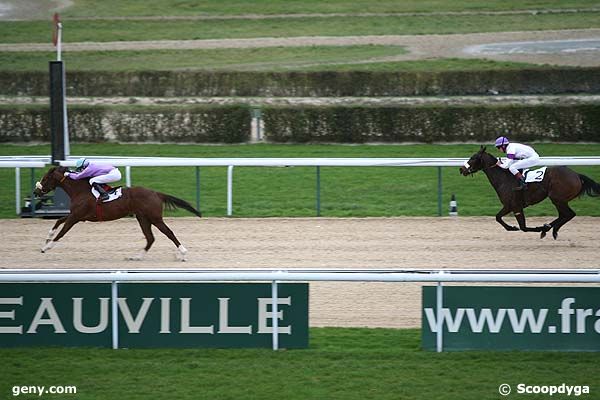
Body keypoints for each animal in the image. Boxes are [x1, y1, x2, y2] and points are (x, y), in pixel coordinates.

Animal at [34, 165, 203, 260]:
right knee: (150, 238)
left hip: (154, 218)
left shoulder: (76, 217)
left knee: (169, 233)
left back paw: (183, 253)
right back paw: (136, 257)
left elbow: (62, 232)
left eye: (45, 178)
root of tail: (156, 193)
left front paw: (46, 247)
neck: (81, 191)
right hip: (143, 218)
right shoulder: (77, 215)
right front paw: (47, 238)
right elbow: (58, 221)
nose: (36, 191)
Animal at [460, 148, 600, 239]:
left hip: (557, 198)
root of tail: (577, 175)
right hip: (559, 200)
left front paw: (536, 228)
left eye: (473, 157)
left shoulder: (514, 206)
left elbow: (522, 227)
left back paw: (550, 229)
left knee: (569, 214)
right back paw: (549, 228)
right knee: (564, 215)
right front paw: (512, 227)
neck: (504, 179)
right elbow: (498, 217)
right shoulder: (510, 206)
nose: (461, 169)